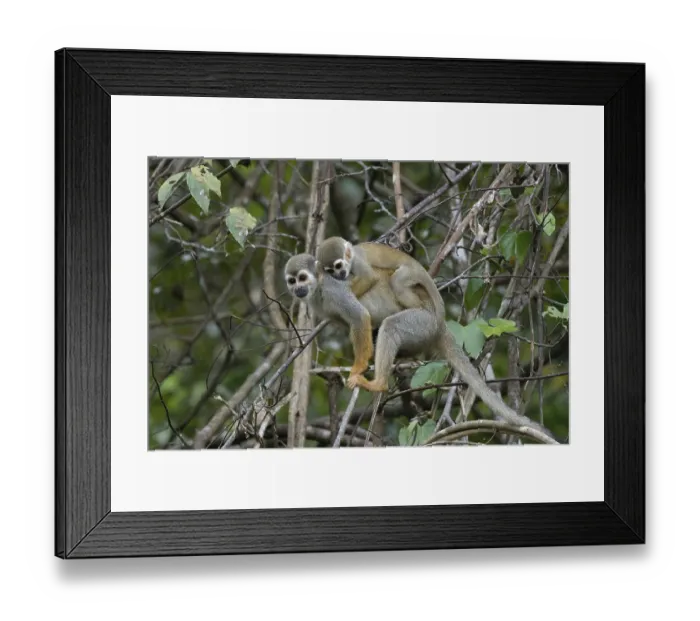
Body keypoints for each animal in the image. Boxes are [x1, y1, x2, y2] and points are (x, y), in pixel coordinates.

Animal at [317, 237, 446, 324]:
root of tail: (418, 265)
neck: (351, 257)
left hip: (410, 271)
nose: (339, 274)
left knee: (396, 283)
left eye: (338, 266)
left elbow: (369, 277)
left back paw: (418, 306)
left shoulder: (357, 261)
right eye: (331, 271)